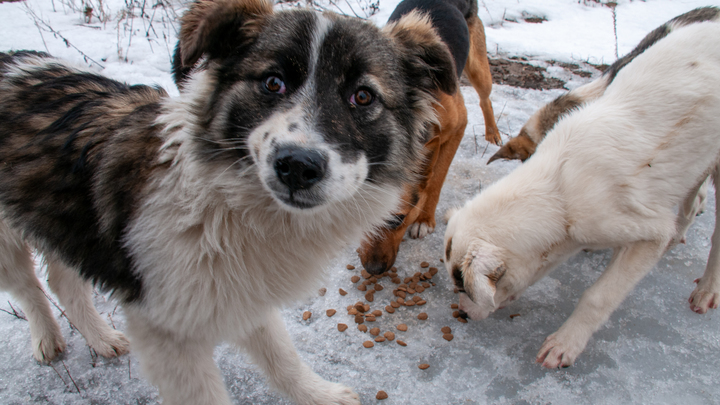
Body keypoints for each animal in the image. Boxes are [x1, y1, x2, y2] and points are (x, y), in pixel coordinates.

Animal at [356, 0, 500, 276]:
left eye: (398, 219)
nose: (373, 269)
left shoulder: (457, 128)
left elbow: (436, 180)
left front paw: (424, 219)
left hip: (479, 69)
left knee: (485, 97)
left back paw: (492, 134)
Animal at [444, 20, 720, 368]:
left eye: (463, 286)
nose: (462, 313)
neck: (558, 189)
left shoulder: (639, 231)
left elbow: (599, 295)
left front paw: (564, 344)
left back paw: (707, 290)